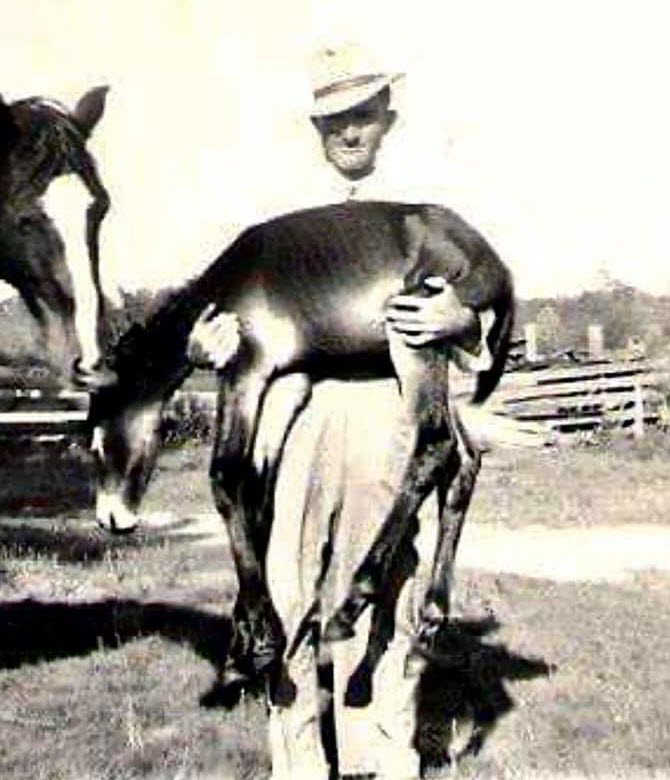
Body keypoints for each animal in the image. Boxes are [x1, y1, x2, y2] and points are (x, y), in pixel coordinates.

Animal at [89, 199, 514, 693]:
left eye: (96, 441)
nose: (109, 519)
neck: (222, 291)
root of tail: (494, 263)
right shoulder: (289, 385)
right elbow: (259, 494)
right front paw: (242, 649)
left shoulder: (245, 371)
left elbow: (225, 478)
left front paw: (262, 640)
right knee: (465, 460)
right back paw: (428, 621)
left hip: (415, 339)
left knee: (437, 446)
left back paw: (352, 605)